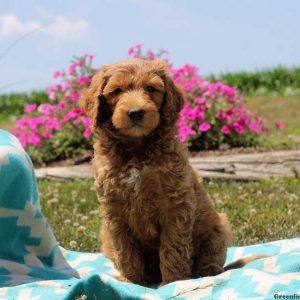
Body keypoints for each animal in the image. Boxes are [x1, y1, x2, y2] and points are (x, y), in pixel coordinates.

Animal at [80, 59, 258, 286]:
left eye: (150, 89)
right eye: (117, 91)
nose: (136, 112)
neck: (137, 148)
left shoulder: (175, 203)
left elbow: (173, 246)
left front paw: (174, 282)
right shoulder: (114, 208)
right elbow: (125, 249)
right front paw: (132, 282)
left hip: (218, 227)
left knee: (210, 259)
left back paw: (204, 274)